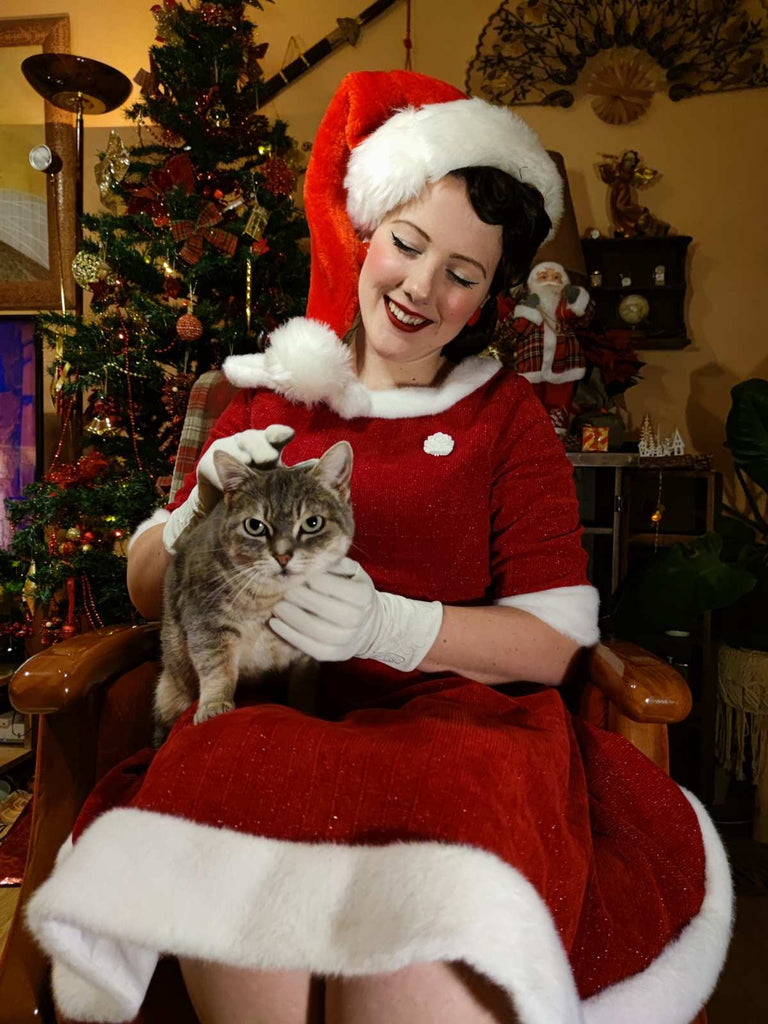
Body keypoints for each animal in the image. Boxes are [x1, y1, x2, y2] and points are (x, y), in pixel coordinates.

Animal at [156, 440, 354, 737]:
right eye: (255, 526)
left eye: (312, 523)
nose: (283, 556)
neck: (270, 602)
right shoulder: (205, 622)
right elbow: (216, 667)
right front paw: (214, 705)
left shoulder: (306, 649)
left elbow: (303, 685)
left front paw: (305, 711)